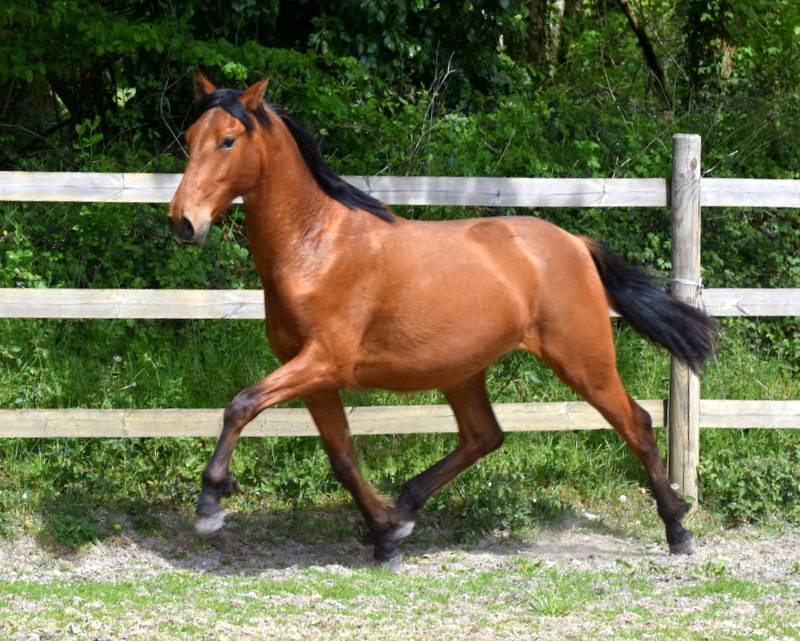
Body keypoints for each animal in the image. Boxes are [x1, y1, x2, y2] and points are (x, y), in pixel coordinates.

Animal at [169, 71, 716, 564]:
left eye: (227, 140)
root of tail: (573, 243)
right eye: (191, 138)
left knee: (636, 423)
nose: (183, 221)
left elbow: (240, 405)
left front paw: (211, 501)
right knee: (485, 435)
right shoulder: (314, 376)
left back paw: (678, 528)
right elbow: (342, 457)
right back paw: (406, 507)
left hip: (583, 359)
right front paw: (385, 536)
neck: (315, 246)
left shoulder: (323, 362)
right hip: (462, 370)